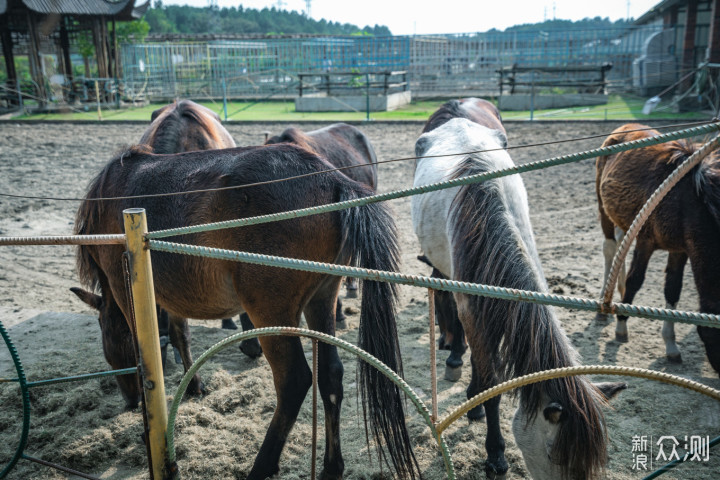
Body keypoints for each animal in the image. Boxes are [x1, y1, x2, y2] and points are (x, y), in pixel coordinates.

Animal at [73, 143, 420, 480]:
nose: (130, 401)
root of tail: (333, 179)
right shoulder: (169, 296)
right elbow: (179, 334)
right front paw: (193, 385)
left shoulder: (127, 291)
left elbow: (149, 359)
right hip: (321, 301)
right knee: (330, 376)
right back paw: (331, 467)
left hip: (271, 311)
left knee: (294, 382)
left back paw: (262, 465)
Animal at [592, 122, 720, 374]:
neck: (685, 201)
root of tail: (624, 127)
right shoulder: (646, 242)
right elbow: (635, 280)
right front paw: (621, 326)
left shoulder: (680, 250)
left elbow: (672, 290)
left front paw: (671, 346)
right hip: (604, 209)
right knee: (610, 248)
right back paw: (605, 300)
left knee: (620, 245)